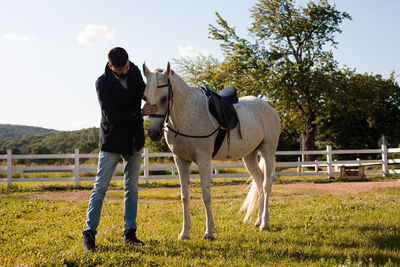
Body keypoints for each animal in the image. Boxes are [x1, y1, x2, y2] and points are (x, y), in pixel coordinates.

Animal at [142, 62, 280, 241]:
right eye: (145, 98)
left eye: (164, 98)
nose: (153, 133)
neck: (186, 113)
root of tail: (269, 108)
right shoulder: (181, 160)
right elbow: (184, 196)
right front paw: (185, 232)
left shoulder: (203, 160)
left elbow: (206, 196)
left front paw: (208, 231)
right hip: (249, 156)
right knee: (259, 182)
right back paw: (258, 221)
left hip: (268, 151)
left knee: (266, 185)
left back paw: (265, 223)